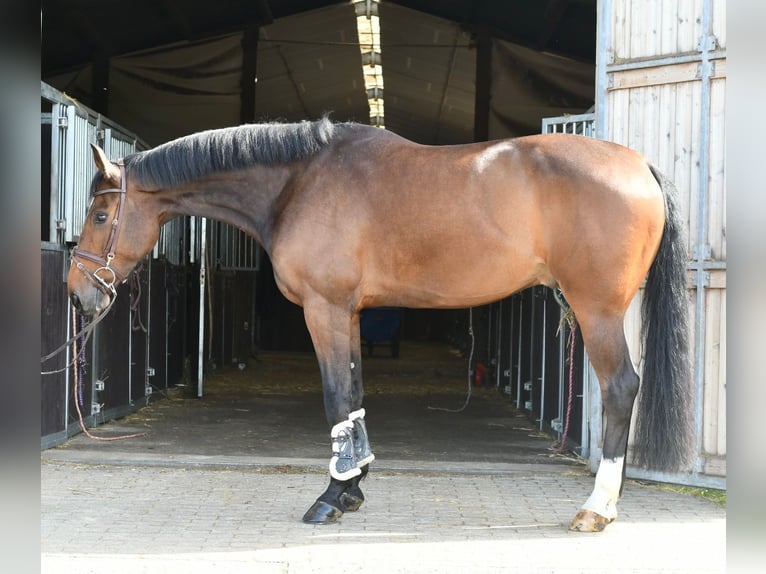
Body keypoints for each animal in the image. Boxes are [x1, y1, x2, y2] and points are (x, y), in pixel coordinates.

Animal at [67, 117, 694, 532]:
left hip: (598, 309)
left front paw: (330, 497)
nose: (77, 296)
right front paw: (352, 489)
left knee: (620, 389)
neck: (299, 182)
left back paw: (596, 508)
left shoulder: (324, 308)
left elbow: (336, 398)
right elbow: (355, 398)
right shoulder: (349, 313)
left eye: (100, 214)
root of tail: (637, 165)